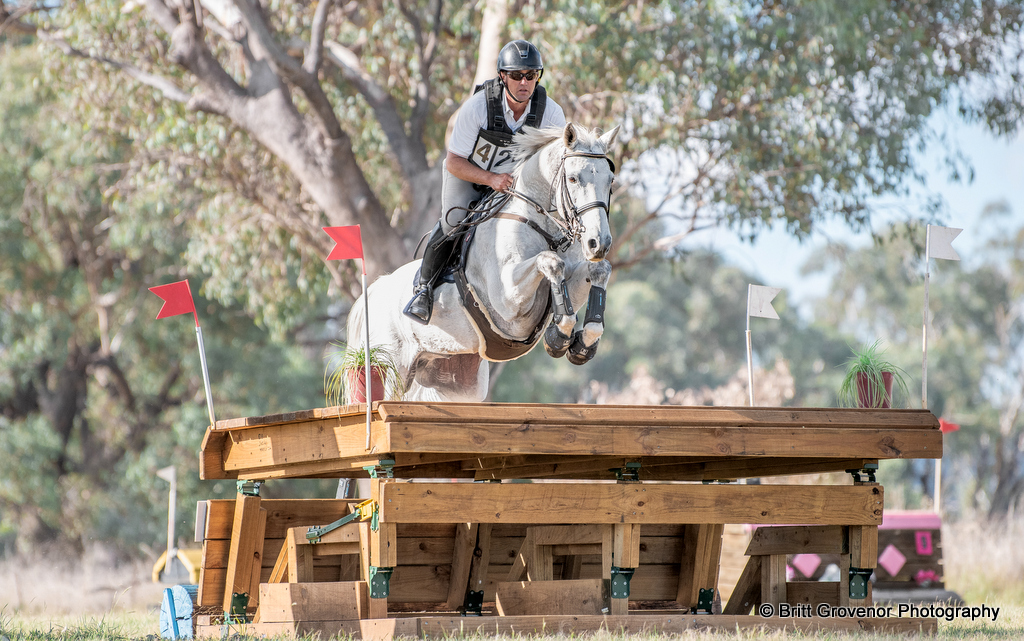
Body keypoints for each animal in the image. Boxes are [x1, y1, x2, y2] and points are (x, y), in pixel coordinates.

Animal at [347, 122, 618, 402]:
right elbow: (551, 262)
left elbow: (599, 269)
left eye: (611, 181)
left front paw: (583, 344)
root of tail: (372, 291)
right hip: (390, 366)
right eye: (573, 178)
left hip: (458, 384)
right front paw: (559, 337)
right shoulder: (507, 299)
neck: (543, 226)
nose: (598, 243)